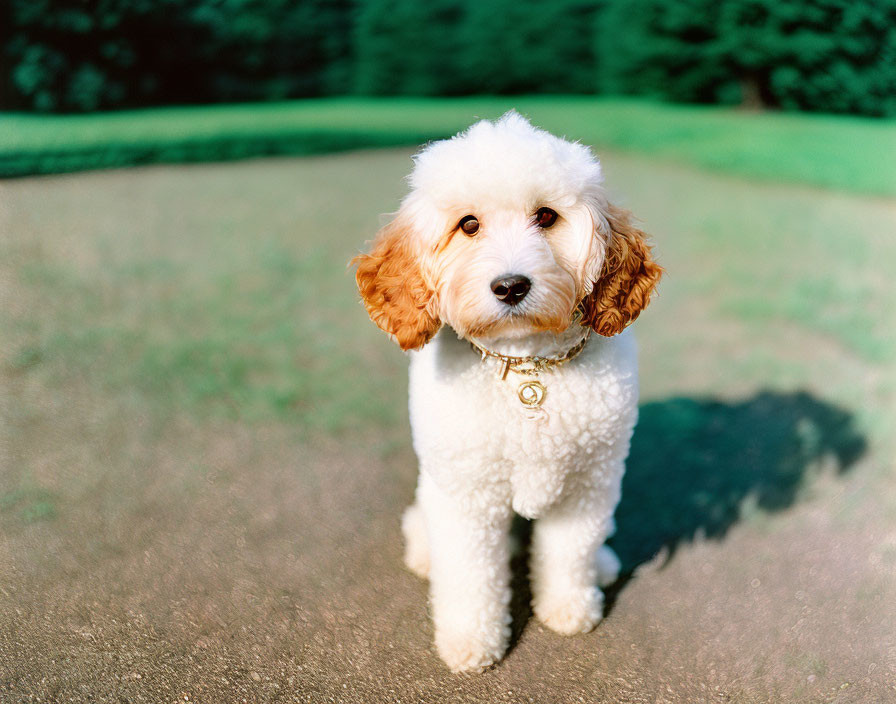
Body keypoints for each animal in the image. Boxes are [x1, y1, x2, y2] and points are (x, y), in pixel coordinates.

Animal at [354, 113, 660, 672]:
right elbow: (470, 576)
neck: (526, 367)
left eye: (546, 216)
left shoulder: (586, 485)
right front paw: (471, 642)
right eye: (468, 225)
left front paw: (569, 609)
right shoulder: (466, 495)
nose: (511, 286)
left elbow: (568, 554)